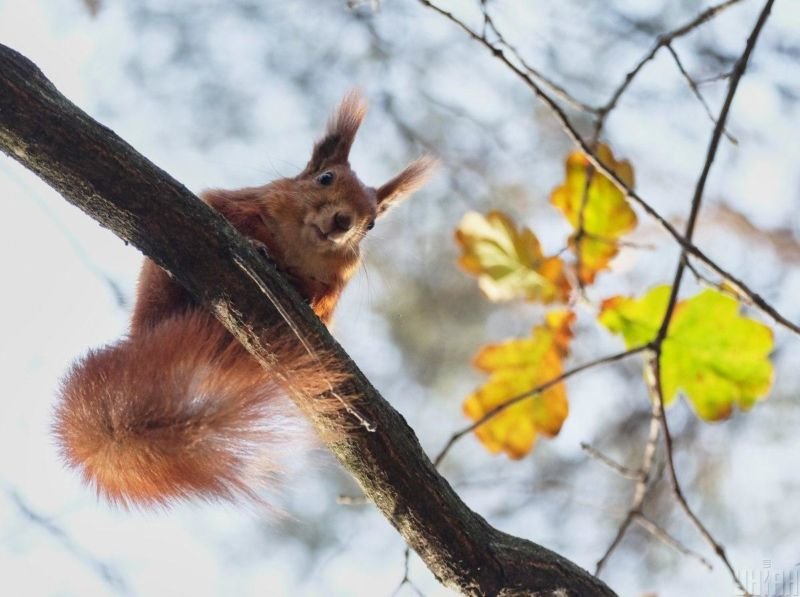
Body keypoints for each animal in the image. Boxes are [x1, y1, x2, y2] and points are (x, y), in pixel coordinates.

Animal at [54, 91, 438, 506]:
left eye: (372, 223)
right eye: (325, 178)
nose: (342, 222)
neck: (299, 244)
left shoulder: (334, 288)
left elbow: (319, 300)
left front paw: (305, 296)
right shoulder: (234, 202)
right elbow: (236, 219)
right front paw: (258, 245)